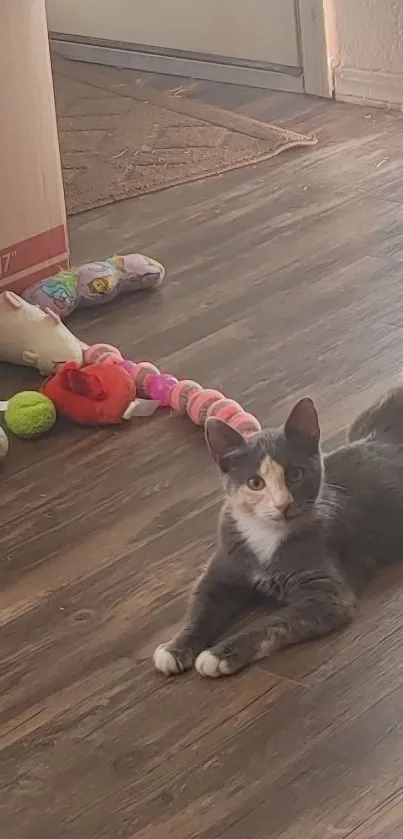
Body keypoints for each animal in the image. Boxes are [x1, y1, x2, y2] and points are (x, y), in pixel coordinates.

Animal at [154, 390, 403, 680]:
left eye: (296, 474)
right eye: (255, 483)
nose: (282, 504)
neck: (267, 535)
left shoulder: (326, 593)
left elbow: (272, 623)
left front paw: (219, 655)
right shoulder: (224, 563)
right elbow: (200, 605)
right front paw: (175, 648)